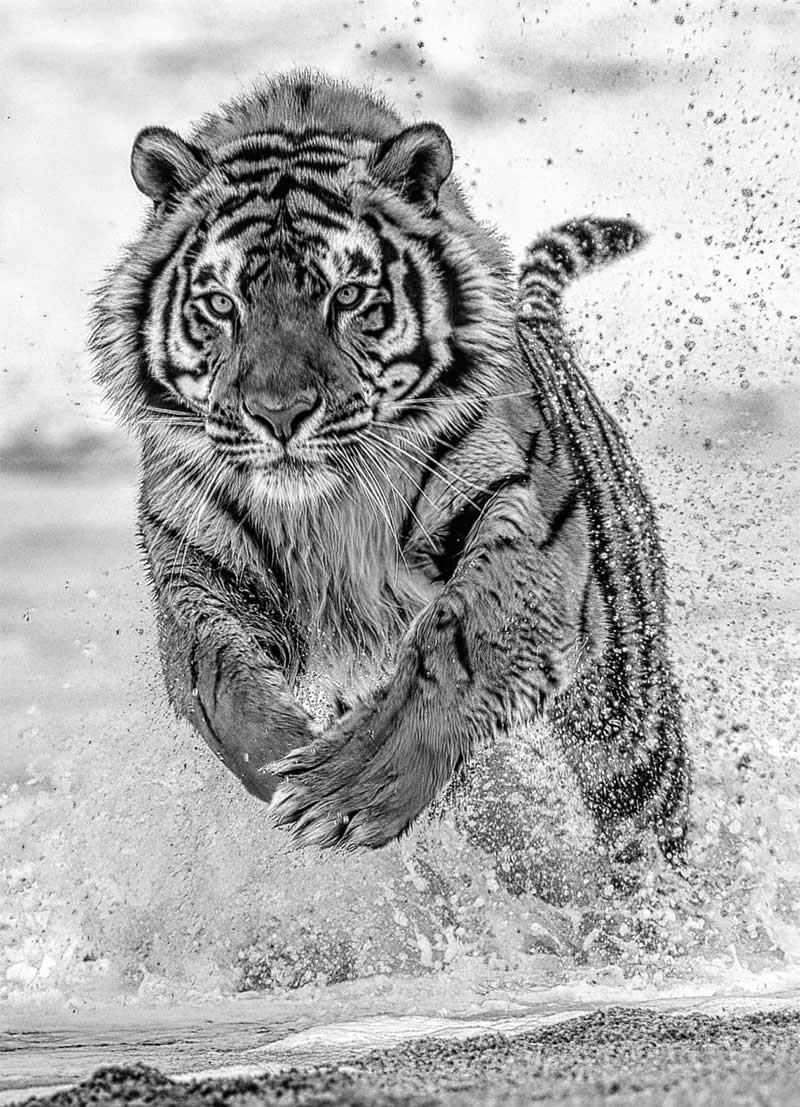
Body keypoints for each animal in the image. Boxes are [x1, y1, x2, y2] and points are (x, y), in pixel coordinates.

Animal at [91, 71, 689, 864]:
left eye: (347, 296)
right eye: (221, 303)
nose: (278, 415)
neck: (324, 509)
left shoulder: (522, 537)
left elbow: (456, 648)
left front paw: (345, 786)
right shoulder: (198, 575)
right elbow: (220, 683)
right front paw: (290, 756)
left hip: (628, 729)